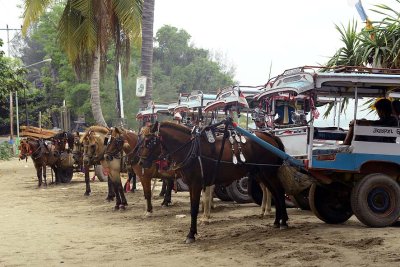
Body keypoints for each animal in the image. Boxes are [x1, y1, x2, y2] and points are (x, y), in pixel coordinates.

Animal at [138, 121, 288, 245]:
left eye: (150, 141)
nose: (141, 162)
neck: (190, 149)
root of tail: (270, 136)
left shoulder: (196, 184)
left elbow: (194, 209)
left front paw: (191, 234)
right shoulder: (194, 185)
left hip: (268, 172)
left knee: (279, 192)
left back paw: (284, 222)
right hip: (261, 174)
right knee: (274, 193)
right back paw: (277, 221)